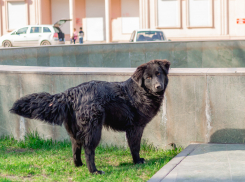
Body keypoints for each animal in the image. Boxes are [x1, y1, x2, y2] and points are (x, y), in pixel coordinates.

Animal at [10, 59, 170, 174]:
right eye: (148, 77)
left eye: (159, 74)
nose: (158, 86)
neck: (141, 91)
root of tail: (71, 93)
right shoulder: (135, 128)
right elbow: (135, 147)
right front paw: (137, 161)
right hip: (93, 130)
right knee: (88, 150)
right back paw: (94, 171)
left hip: (75, 131)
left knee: (75, 148)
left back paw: (78, 165)